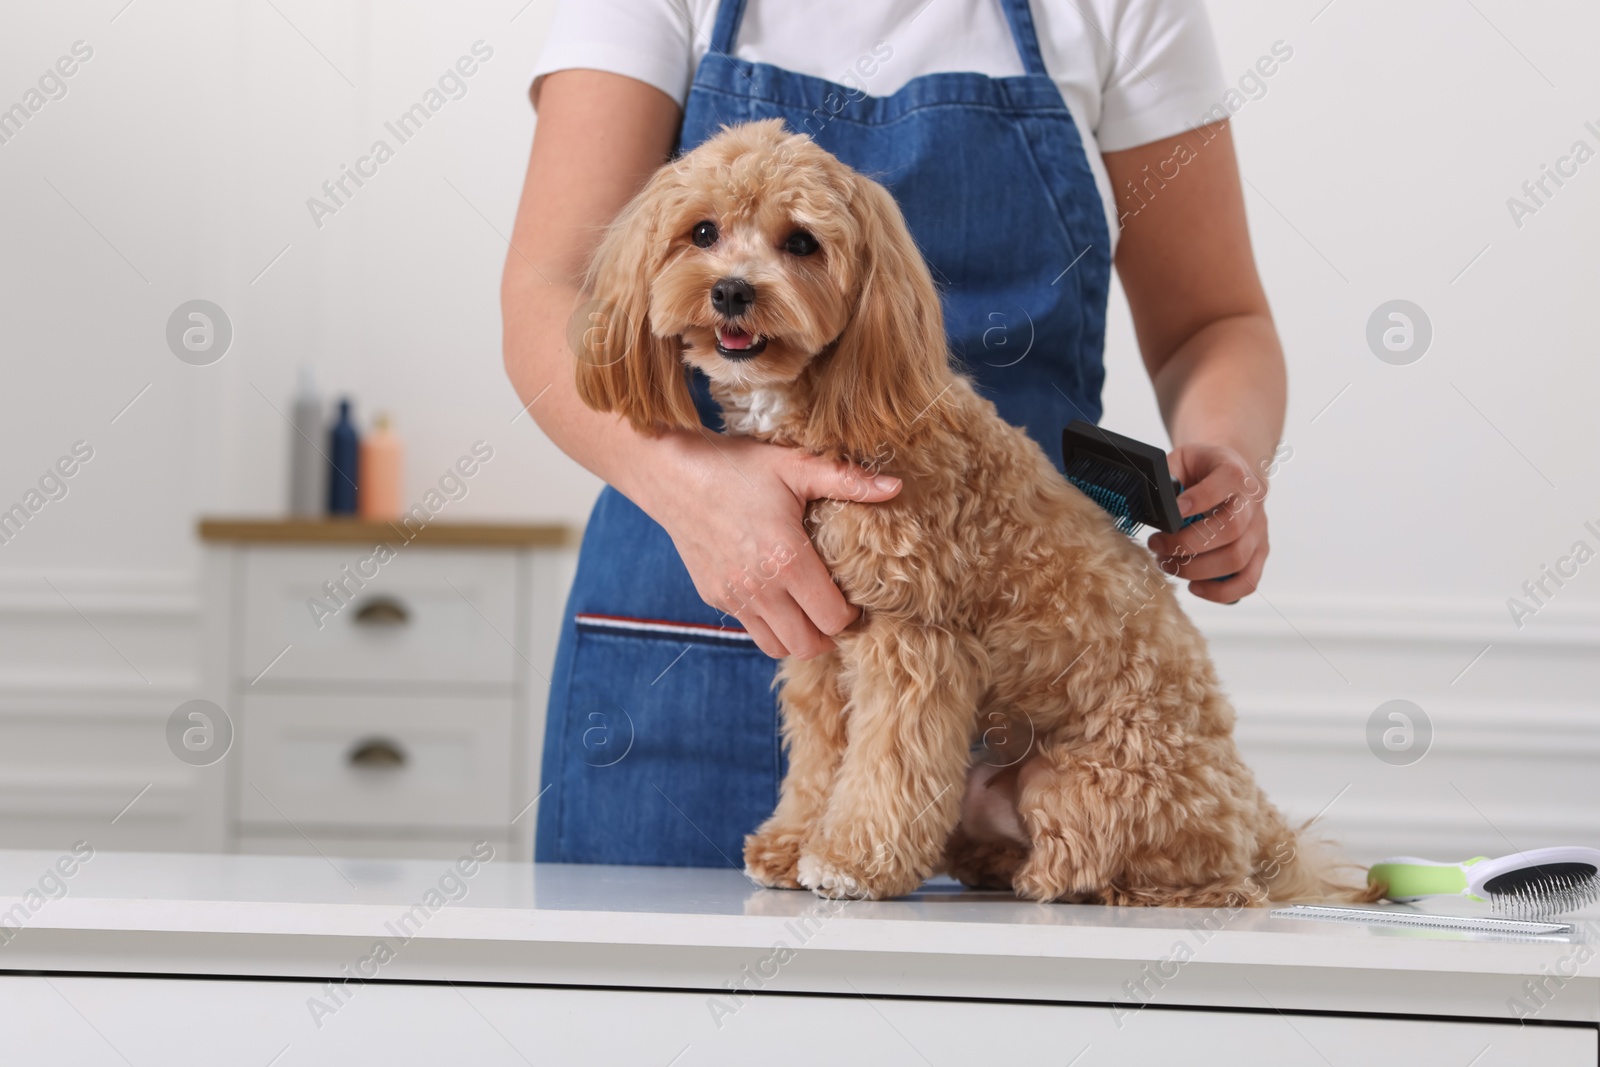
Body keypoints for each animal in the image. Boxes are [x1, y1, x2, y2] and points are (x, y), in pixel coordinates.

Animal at [576, 120, 1376, 908]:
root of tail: (1257, 817)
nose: (733, 290)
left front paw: (852, 860)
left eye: (801, 242)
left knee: (1155, 873)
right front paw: (792, 841)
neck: (838, 407)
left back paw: (1061, 879)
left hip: (1088, 782)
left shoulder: (915, 641)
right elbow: (820, 757)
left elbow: (887, 764)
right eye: (703, 232)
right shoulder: (820, 645)